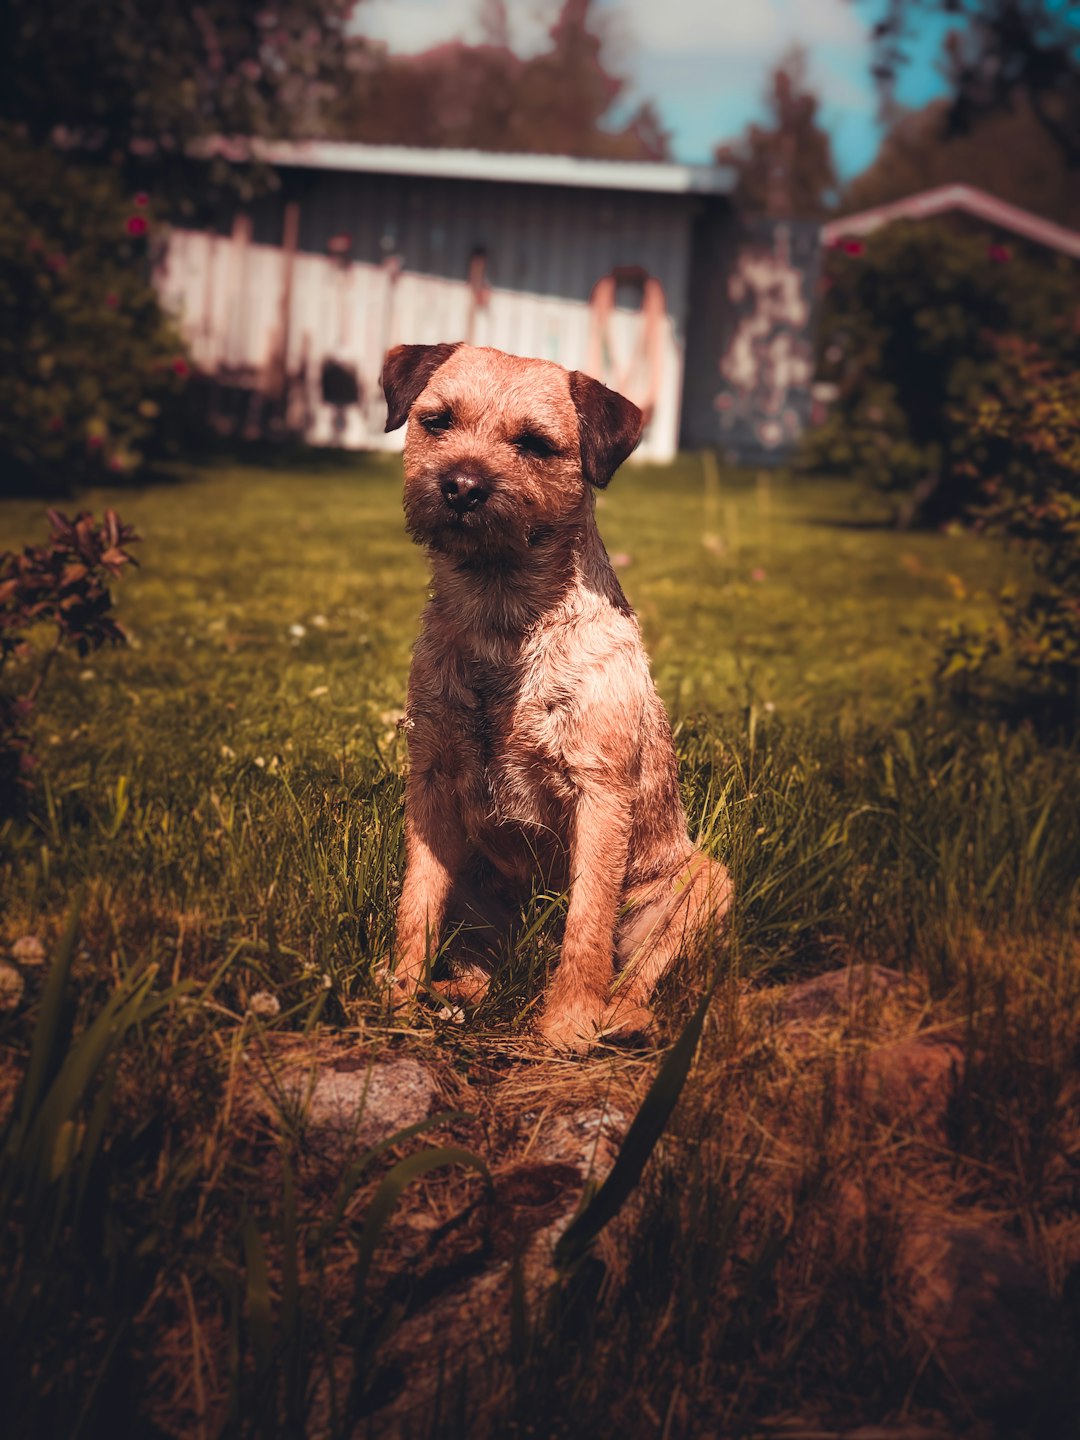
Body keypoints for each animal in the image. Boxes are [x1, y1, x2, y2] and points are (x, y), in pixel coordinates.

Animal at [383, 342, 737, 1054]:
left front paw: (569, 1025)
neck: (501, 617)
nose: (461, 486)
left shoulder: (600, 793)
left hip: (706, 884)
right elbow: (417, 904)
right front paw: (396, 998)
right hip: (474, 874)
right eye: (437, 422)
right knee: (482, 961)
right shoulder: (431, 782)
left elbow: (588, 923)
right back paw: (455, 994)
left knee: (637, 969)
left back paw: (620, 1018)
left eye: (535, 444)